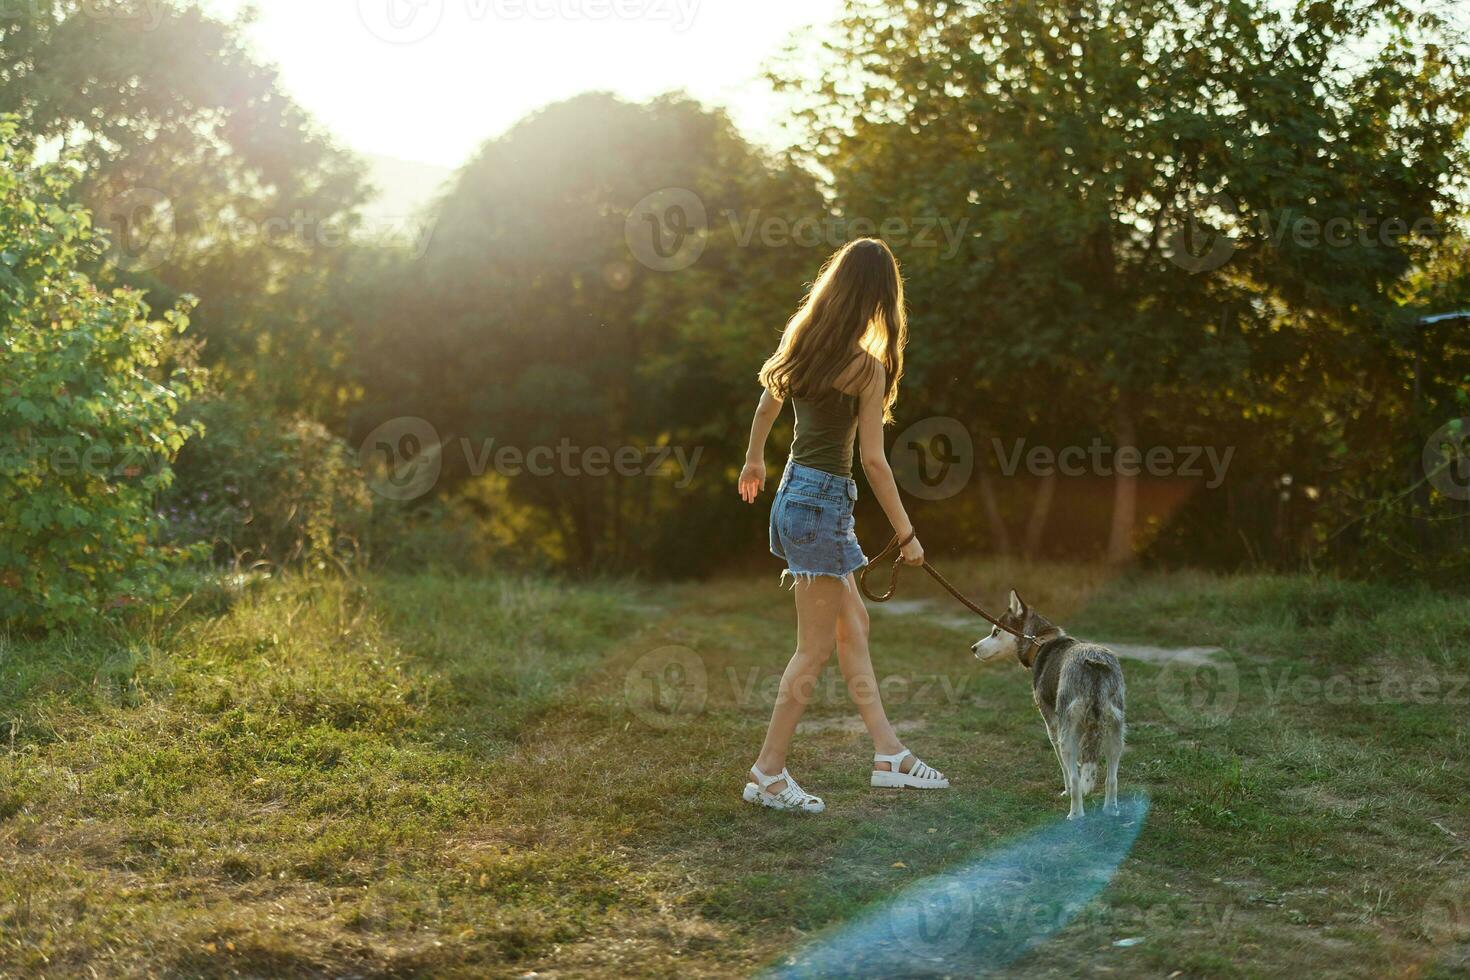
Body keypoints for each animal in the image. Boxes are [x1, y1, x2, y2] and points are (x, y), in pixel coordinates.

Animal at [970, 593, 1128, 816]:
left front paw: (1066, 791)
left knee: (1076, 779)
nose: (973, 648)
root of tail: (1094, 665)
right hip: (1115, 731)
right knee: (1111, 779)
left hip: (1067, 733)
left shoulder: (1052, 726)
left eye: (996, 632)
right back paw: (1110, 811)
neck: (1040, 642)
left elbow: (1067, 769)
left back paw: (1075, 814)